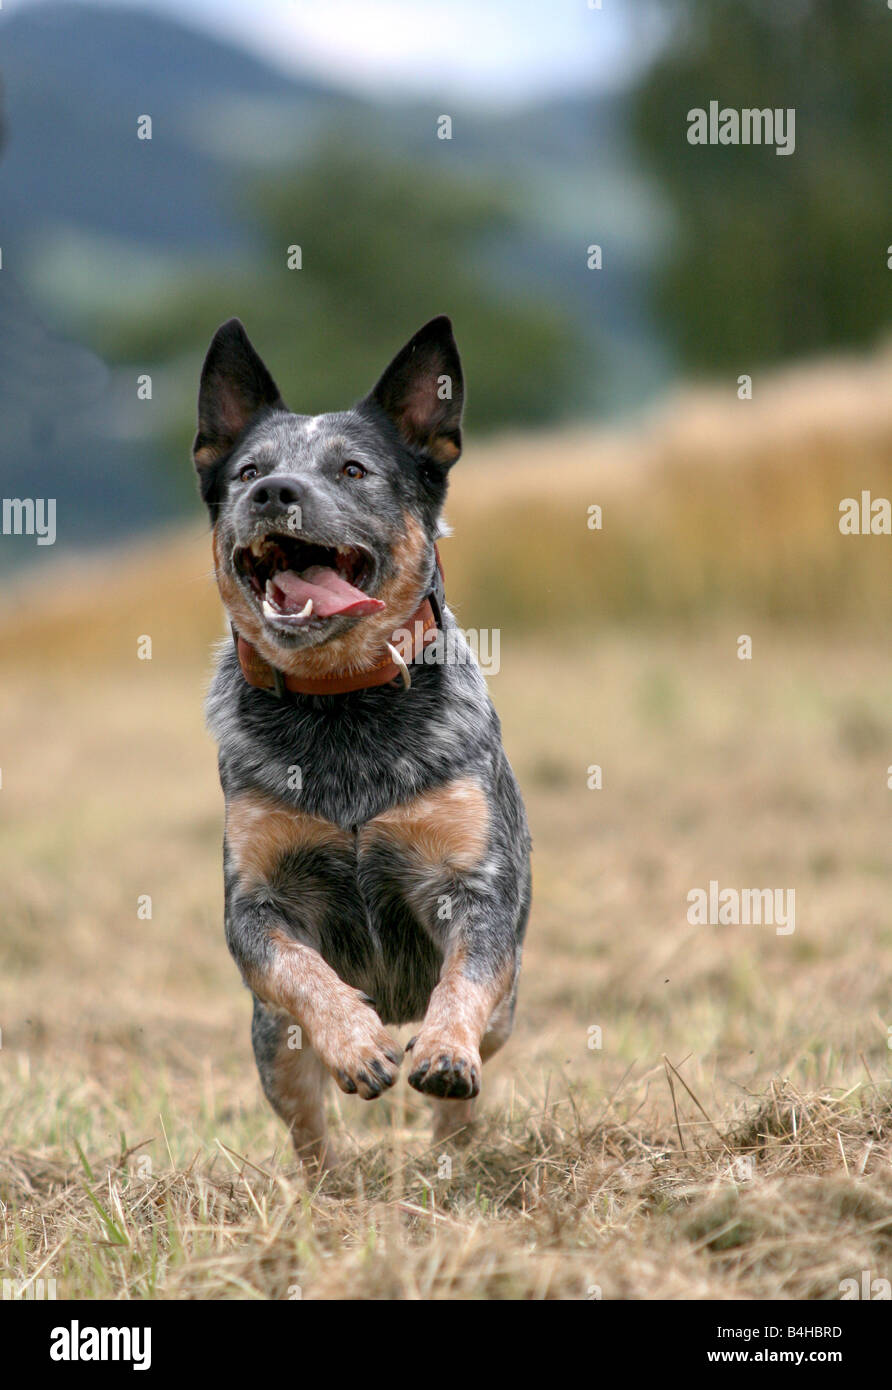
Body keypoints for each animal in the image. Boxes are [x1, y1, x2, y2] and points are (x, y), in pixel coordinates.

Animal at [193, 312, 527, 1162]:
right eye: (247, 471)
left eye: (352, 469)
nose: (275, 492)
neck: (340, 702)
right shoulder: (256, 900)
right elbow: (303, 970)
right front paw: (358, 1043)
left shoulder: (474, 887)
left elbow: (463, 979)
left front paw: (442, 1050)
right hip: (270, 1045)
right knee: (307, 1125)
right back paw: (330, 1180)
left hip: (507, 1014)